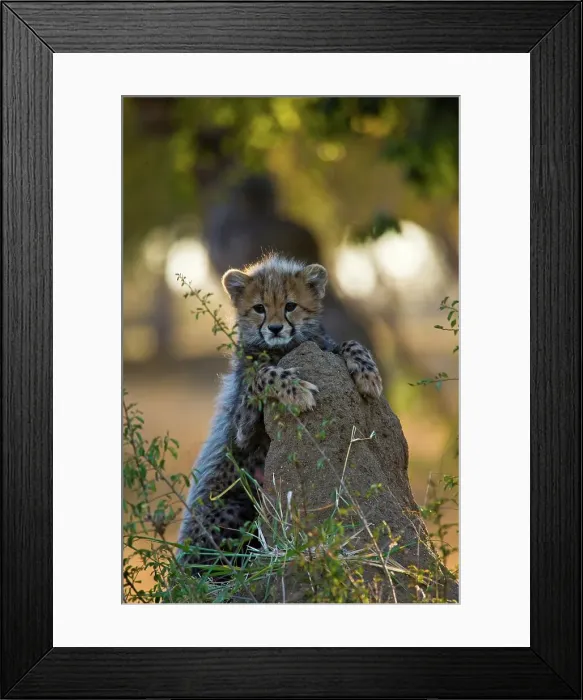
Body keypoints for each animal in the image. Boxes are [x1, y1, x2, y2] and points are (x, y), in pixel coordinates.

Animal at [177, 253, 382, 571]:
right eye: (259, 308)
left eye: (290, 306)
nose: (275, 329)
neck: (282, 349)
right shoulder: (241, 431)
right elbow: (263, 376)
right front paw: (294, 389)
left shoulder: (323, 346)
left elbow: (349, 343)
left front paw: (367, 373)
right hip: (234, 506)